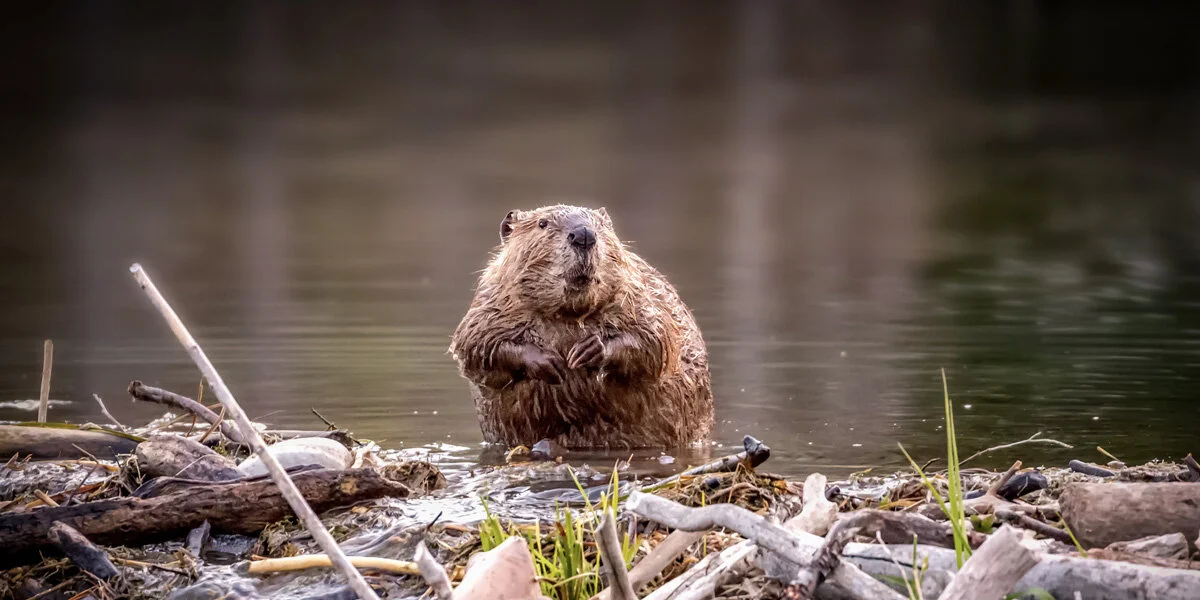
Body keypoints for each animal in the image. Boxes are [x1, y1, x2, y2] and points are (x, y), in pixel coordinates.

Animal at [451, 204, 710, 448]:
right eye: (543, 223)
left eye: (600, 225)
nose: (584, 234)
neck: (568, 314)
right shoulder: (490, 303)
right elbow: (476, 346)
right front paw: (549, 362)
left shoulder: (639, 294)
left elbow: (656, 339)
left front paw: (588, 351)